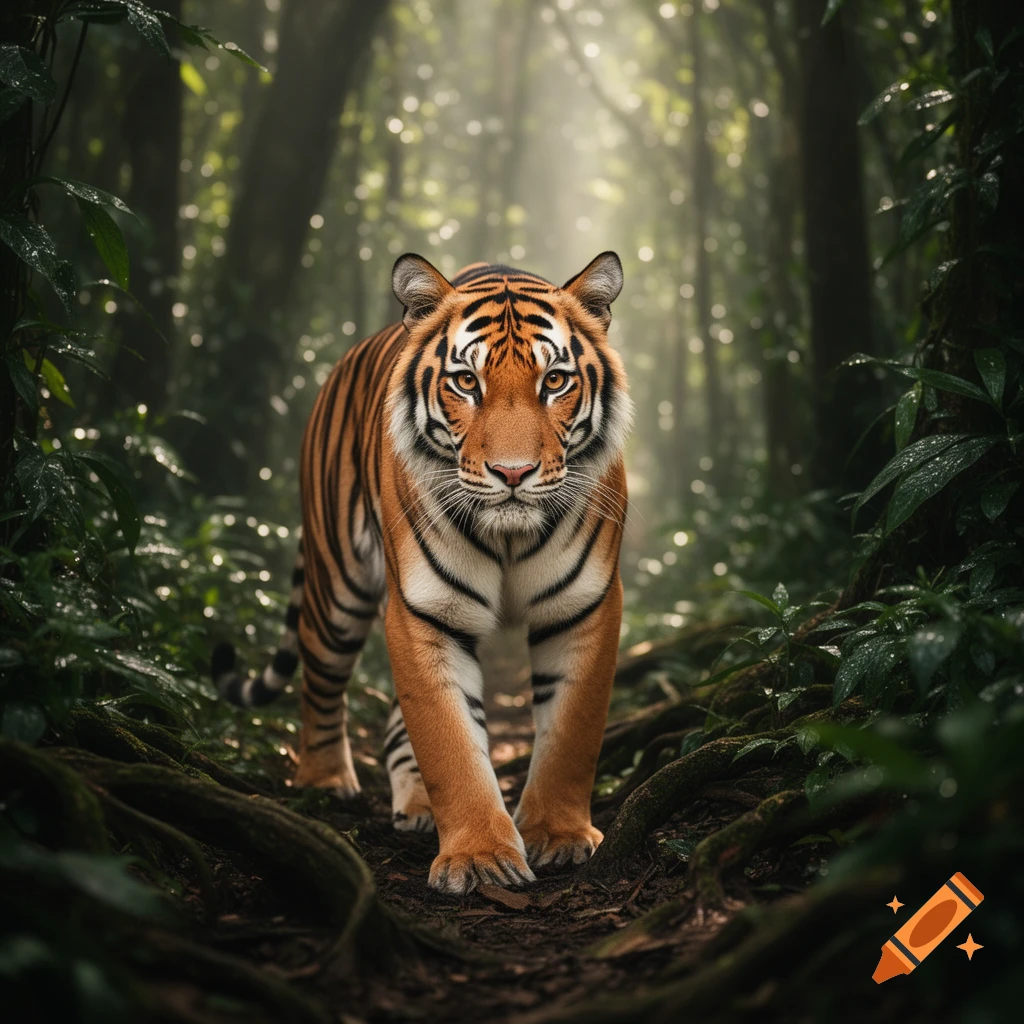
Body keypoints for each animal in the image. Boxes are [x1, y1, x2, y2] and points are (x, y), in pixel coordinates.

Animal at [212, 251, 631, 894]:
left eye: (555, 381)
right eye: (467, 382)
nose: (514, 473)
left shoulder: (585, 604)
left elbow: (572, 732)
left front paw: (558, 837)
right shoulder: (424, 610)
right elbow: (449, 739)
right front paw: (480, 857)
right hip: (338, 589)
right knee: (319, 681)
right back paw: (324, 782)